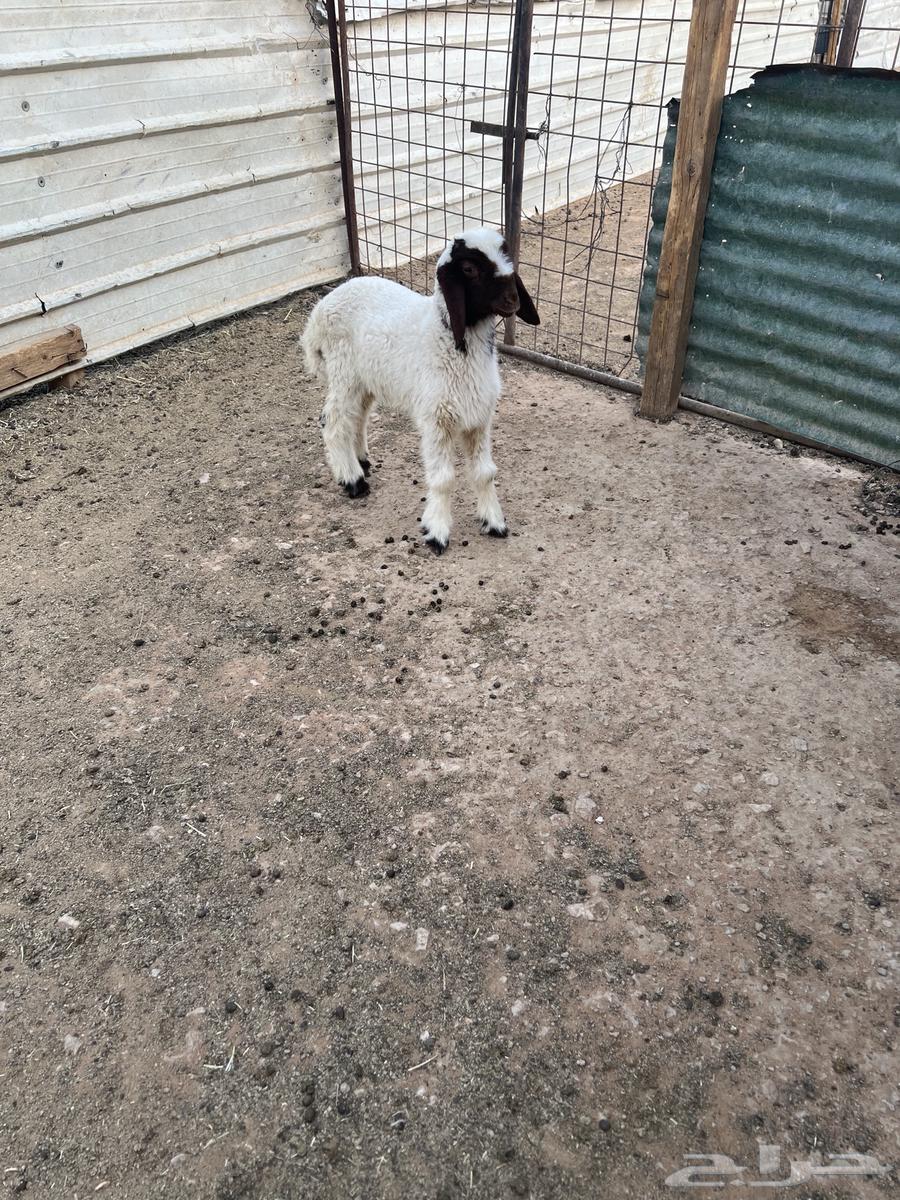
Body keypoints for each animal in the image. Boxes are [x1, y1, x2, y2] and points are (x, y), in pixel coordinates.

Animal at [302, 228, 539, 554]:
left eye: (506, 255)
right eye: (469, 268)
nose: (512, 299)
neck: (448, 339)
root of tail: (318, 314)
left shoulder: (479, 417)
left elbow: (485, 472)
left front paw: (494, 521)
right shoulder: (437, 417)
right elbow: (442, 479)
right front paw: (436, 530)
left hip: (367, 378)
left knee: (357, 417)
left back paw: (361, 460)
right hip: (344, 372)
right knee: (334, 422)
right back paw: (352, 480)